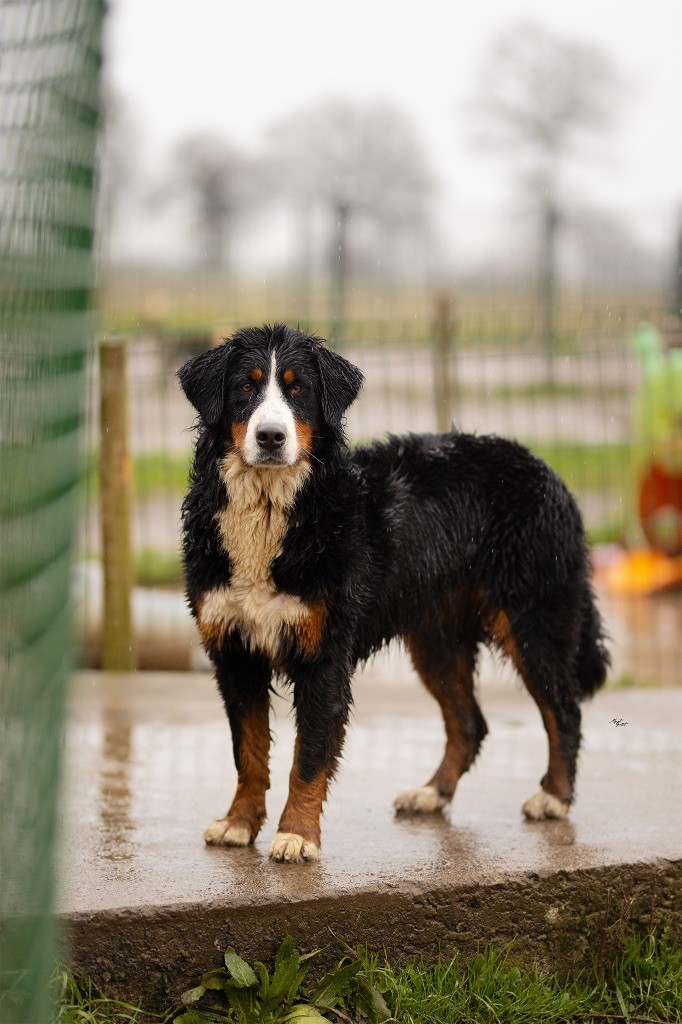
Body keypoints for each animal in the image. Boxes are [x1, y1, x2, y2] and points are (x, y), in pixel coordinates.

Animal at [178, 321, 606, 864]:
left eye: (299, 390)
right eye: (244, 388)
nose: (271, 436)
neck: (272, 509)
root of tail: (544, 468)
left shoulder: (324, 654)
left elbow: (308, 758)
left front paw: (296, 835)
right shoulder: (235, 651)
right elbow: (248, 753)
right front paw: (238, 823)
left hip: (533, 620)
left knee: (563, 710)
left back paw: (554, 797)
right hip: (438, 638)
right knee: (469, 723)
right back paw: (432, 793)